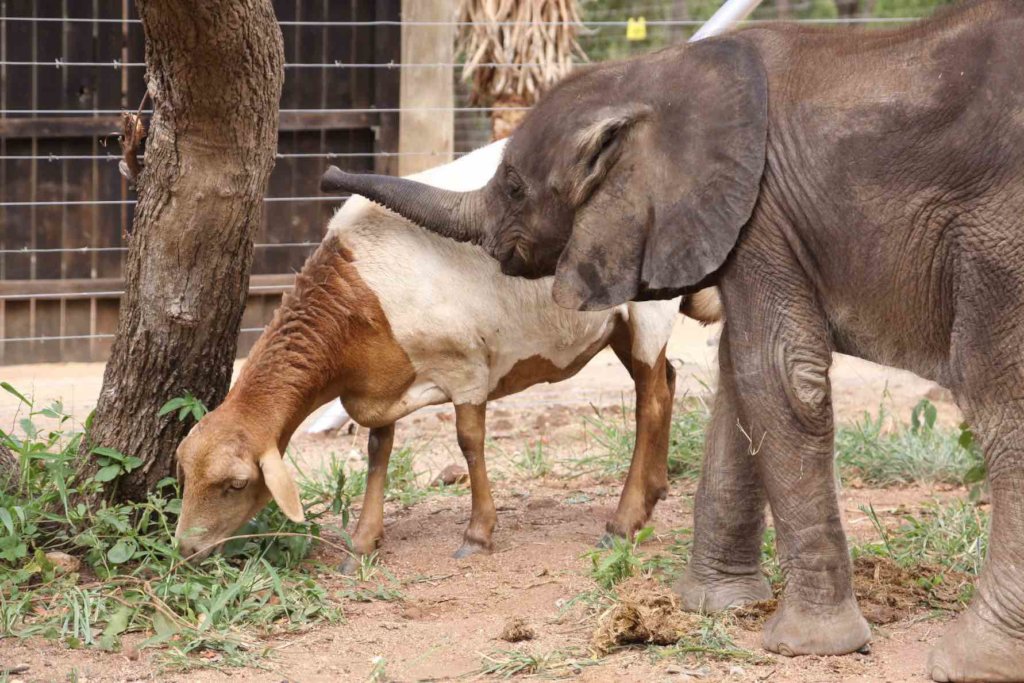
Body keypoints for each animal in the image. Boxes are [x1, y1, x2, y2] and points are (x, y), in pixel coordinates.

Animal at [318, 0, 1024, 680]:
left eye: (515, 186)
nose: (328, 171)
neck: (659, 74)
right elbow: (741, 378)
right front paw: (710, 607)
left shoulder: (762, 216)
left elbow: (778, 373)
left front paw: (806, 647)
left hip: (997, 243)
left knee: (1000, 404)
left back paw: (970, 664)